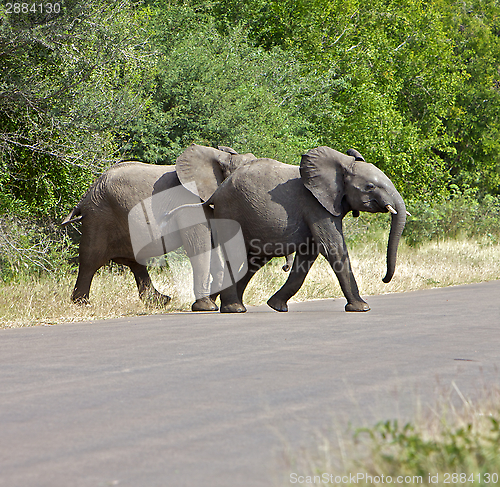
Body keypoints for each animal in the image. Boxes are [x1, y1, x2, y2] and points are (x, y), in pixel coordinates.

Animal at [61, 146, 258, 312]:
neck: (221, 158)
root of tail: (86, 194)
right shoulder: (190, 202)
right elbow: (199, 245)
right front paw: (207, 307)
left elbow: (213, 243)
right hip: (99, 217)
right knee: (91, 259)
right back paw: (82, 304)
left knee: (134, 261)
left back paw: (161, 301)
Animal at [174, 146, 408, 312]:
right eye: (370, 187)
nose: (384, 279)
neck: (341, 163)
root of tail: (218, 190)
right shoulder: (315, 205)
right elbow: (332, 247)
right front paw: (362, 308)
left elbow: (310, 253)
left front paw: (276, 306)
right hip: (230, 211)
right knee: (237, 254)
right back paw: (232, 309)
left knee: (254, 261)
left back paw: (229, 307)